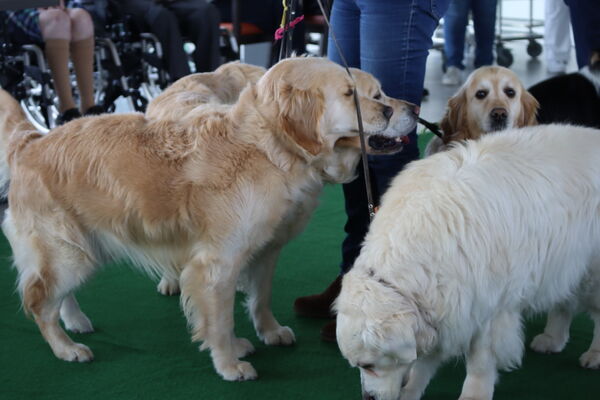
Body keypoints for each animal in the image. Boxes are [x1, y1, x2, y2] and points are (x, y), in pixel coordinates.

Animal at [0, 57, 414, 382]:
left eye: (377, 94)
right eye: (354, 95)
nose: (410, 108)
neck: (270, 149)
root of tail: (32, 142)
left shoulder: (264, 249)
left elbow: (260, 297)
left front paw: (268, 332)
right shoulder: (217, 263)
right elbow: (220, 319)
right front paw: (229, 364)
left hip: (82, 247)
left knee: (53, 292)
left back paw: (75, 321)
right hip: (68, 251)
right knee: (38, 300)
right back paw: (66, 348)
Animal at [336, 125, 600, 400]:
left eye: (369, 365)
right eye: (357, 366)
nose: (368, 397)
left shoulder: (486, 309)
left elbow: (479, 362)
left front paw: (473, 394)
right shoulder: (443, 311)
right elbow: (424, 361)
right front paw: (411, 390)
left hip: (591, 273)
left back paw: (594, 354)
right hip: (565, 264)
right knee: (564, 302)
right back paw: (552, 339)